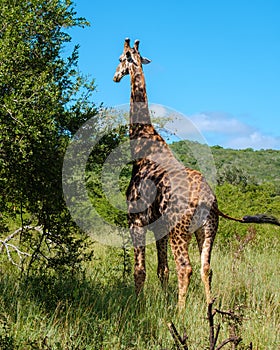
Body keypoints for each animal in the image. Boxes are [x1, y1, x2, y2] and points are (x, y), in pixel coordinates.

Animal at [112, 37, 280, 308]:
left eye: (119, 59)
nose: (115, 76)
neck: (142, 144)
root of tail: (207, 199)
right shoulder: (158, 227)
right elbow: (162, 270)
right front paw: (163, 301)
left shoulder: (136, 220)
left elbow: (140, 270)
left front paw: (138, 306)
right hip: (208, 229)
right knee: (206, 268)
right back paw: (209, 309)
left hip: (179, 230)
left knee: (186, 268)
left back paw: (180, 313)